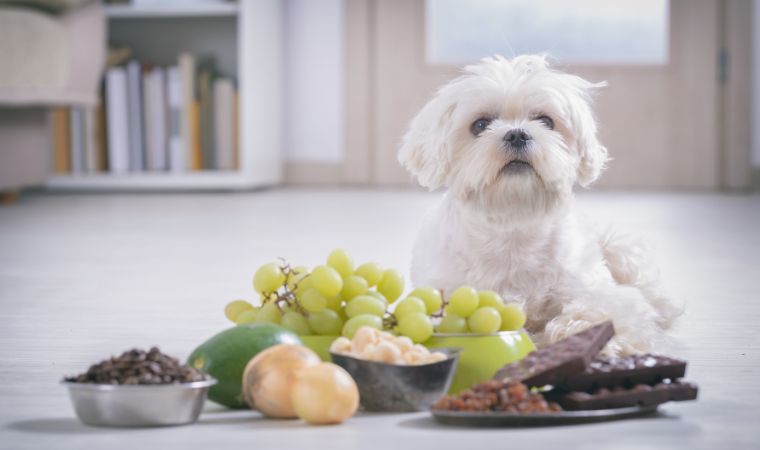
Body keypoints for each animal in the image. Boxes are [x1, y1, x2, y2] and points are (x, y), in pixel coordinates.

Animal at [400, 54, 680, 356]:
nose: (517, 134)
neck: (514, 222)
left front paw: (582, 335)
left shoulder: (598, 291)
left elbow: (603, 312)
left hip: (619, 250)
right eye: (480, 125)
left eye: (546, 121)